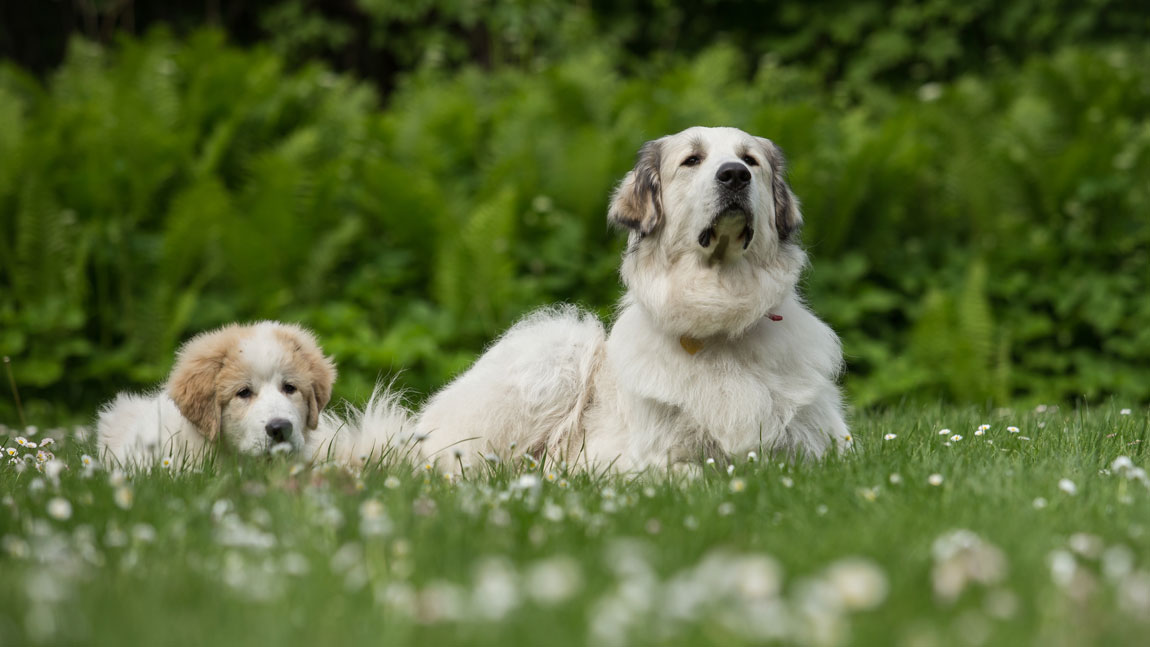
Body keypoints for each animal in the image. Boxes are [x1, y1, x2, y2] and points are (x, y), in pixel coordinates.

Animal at [418, 126, 851, 473]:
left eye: (750, 161)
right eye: (692, 160)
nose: (734, 174)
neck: (721, 315)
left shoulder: (822, 450)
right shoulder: (647, 463)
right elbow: (697, 476)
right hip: (562, 343)